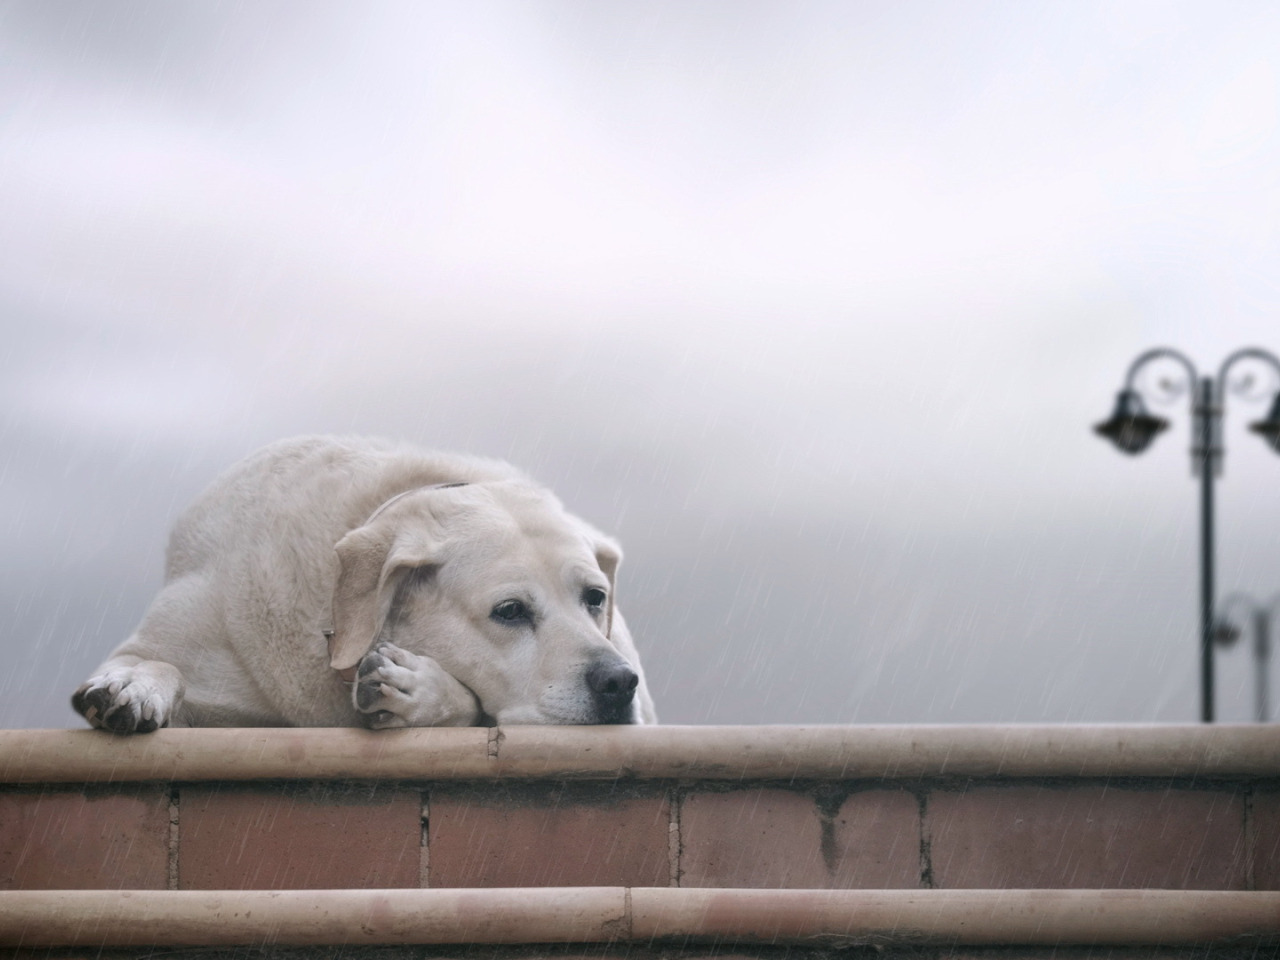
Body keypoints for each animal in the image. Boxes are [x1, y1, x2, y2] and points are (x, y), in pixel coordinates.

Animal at [71, 440, 655, 732]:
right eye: (509, 611)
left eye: (595, 598)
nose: (617, 682)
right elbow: (156, 661)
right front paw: (132, 685)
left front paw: (418, 689)